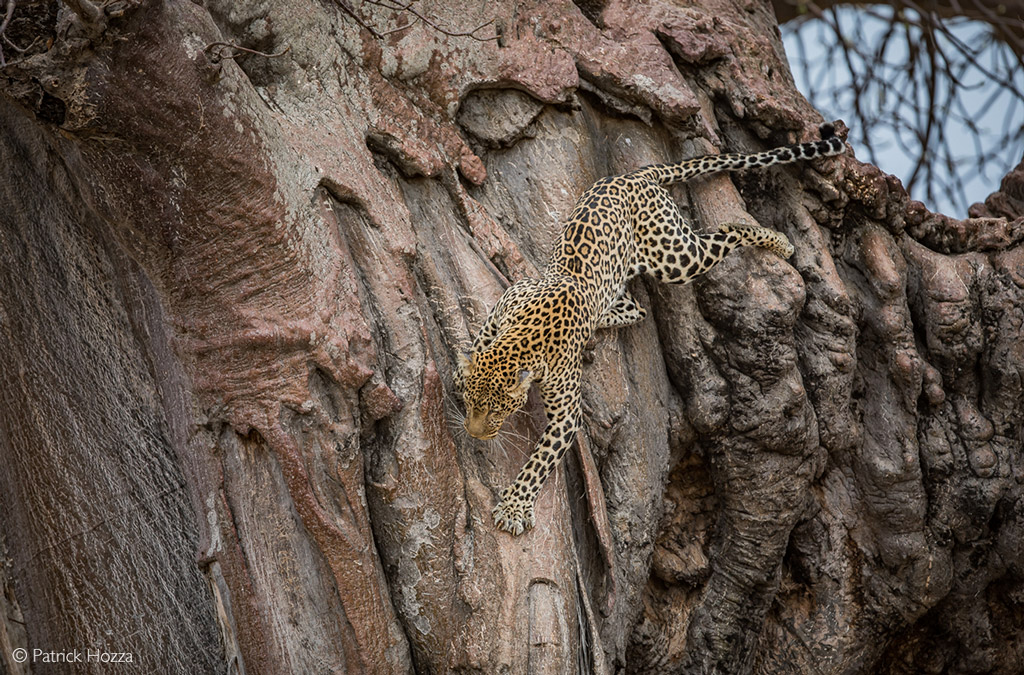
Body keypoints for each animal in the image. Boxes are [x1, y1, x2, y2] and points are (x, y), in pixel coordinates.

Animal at [452, 123, 843, 536]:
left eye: (497, 411)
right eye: (470, 404)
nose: (474, 434)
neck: (520, 341)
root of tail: (634, 175)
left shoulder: (567, 414)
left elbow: (539, 461)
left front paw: (514, 506)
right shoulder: (509, 298)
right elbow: (481, 340)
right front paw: (461, 369)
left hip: (676, 255)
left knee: (727, 232)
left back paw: (778, 242)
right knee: (635, 306)